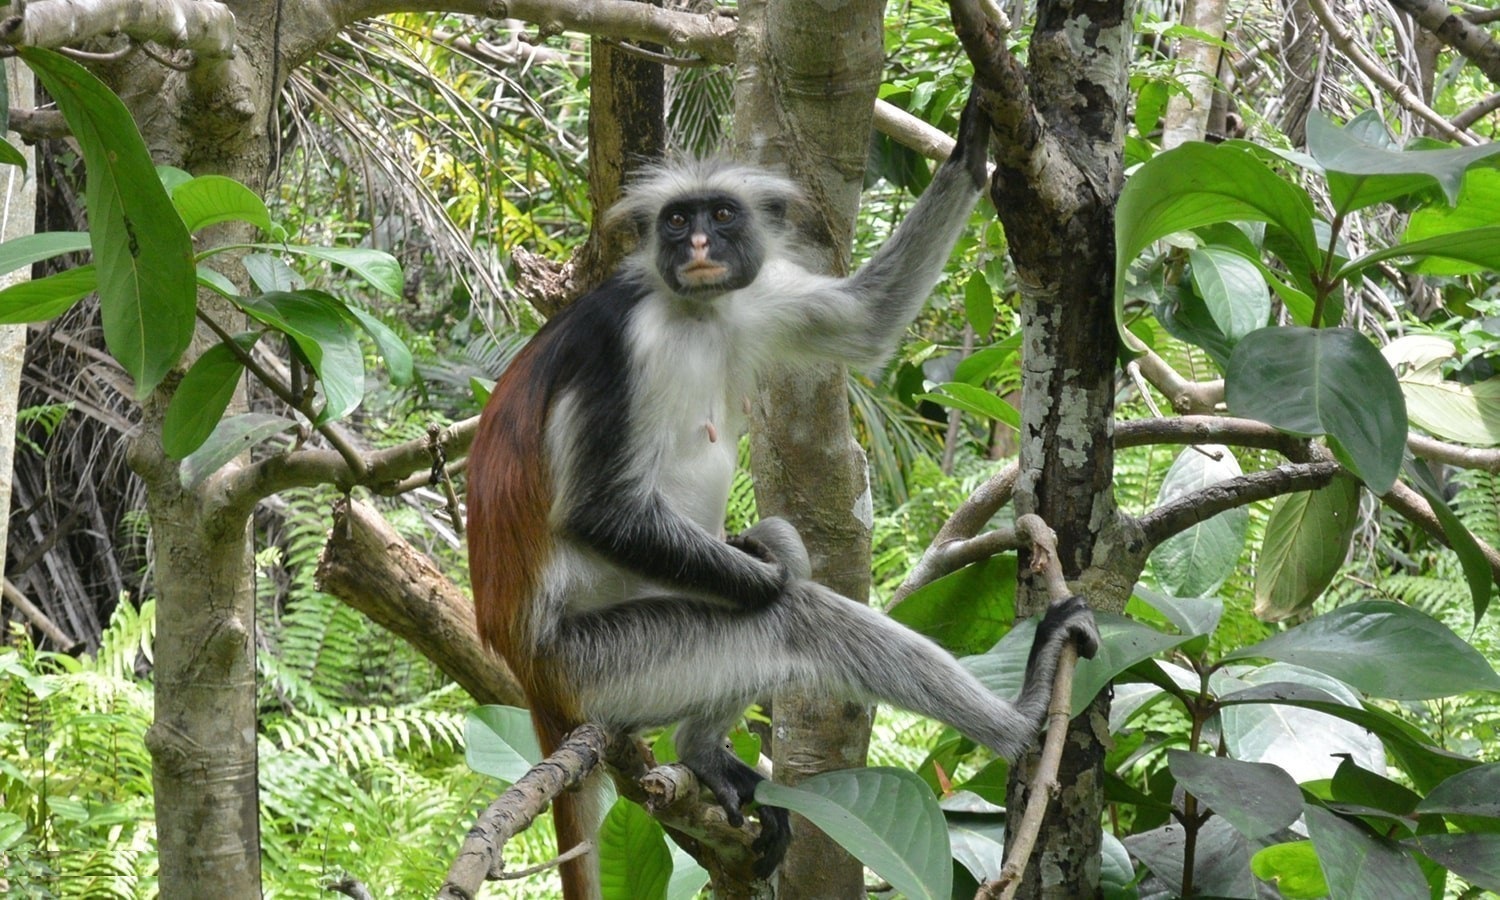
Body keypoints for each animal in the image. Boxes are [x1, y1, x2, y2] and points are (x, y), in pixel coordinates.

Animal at [466, 90, 1100, 900]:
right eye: (677, 221)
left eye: (721, 215)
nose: (700, 244)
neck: (691, 311)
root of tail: (523, 659)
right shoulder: (618, 340)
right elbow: (599, 513)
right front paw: (773, 580)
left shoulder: (746, 301)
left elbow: (865, 321)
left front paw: (972, 143)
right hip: (601, 661)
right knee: (791, 619)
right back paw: (1023, 719)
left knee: (781, 543)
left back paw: (702, 749)